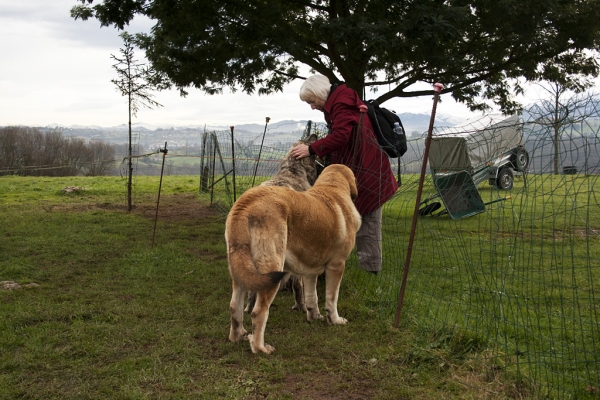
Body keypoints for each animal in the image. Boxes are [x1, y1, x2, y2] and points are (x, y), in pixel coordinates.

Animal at [225, 164, 360, 354]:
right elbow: (332, 297)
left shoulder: (310, 272)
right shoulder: (337, 265)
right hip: (272, 268)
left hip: (240, 270)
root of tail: (246, 202)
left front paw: (314, 316)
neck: (332, 187)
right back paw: (260, 348)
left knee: (235, 307)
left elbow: (311, 296)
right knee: (258, 312)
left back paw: (239, 336)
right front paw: (335, 320)